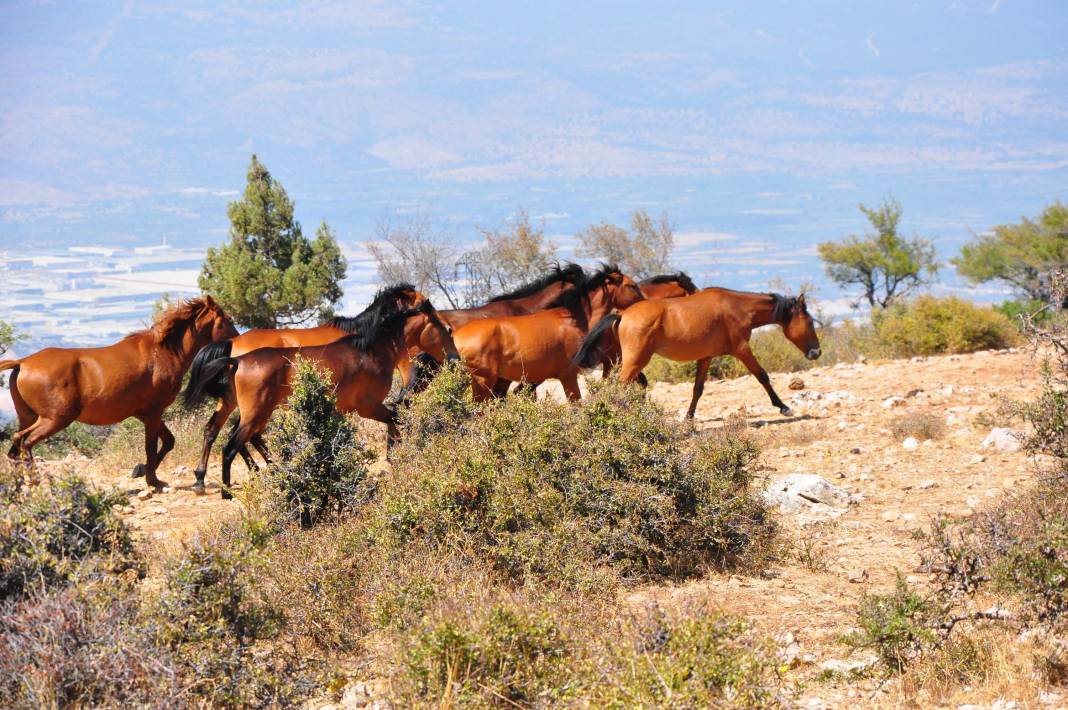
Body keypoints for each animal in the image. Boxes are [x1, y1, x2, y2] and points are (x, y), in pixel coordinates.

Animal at [0, 296, 238, 491]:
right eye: (228, 319)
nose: (237, 341)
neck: (163, 353)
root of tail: (22, 363)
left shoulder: (145, 414)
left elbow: (168, 441)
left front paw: (143, 472)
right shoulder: (153, 412)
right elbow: (151, 447)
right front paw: (152, 480)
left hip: (30, 417)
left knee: (15, 445)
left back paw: (17, 486)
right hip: (55, 418)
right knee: (25, 442)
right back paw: (35, 482)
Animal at [184, 288, 459, 497]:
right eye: (439, 324)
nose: (454, 357)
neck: (369, 350)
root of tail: (237, 358)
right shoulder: (368, 406)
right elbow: (397, 419)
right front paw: (398, 455)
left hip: (254, 412)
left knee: (228, 434)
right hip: (254, 414)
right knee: (230, 446)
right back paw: (227, 492)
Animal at [452, 262, 640, 401]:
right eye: (632, 286)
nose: (644, 306)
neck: (572, 319)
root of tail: (456, 336)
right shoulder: (568, 375)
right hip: (483, 381)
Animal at [576, 286, 815, 416]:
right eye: (811, 321)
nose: (816, 352)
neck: (738, 307)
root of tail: (623, 314)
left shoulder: (706, 357)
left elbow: (697, 389)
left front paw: (688, 419)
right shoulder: (741, 349)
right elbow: (762, 376)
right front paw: (783, 407)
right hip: (635, 361)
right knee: (619, 387)